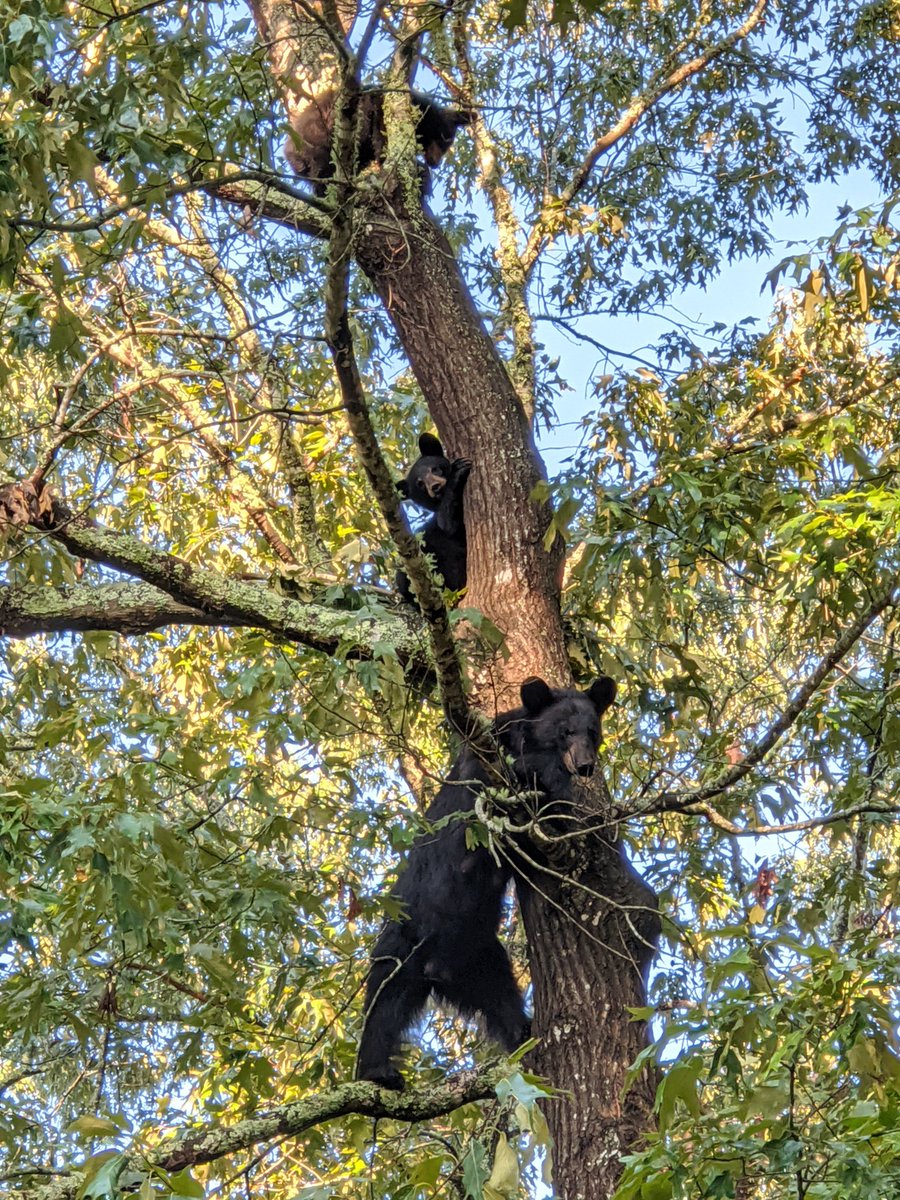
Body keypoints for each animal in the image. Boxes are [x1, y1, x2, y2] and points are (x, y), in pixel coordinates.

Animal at [285, 87, 472, 195]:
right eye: (444, 138)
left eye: (447, 144)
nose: (435, 163)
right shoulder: (381, 110)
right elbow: (381, 139)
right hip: (320, 136)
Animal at [355, 674, 618, 1090]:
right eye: (565, 731)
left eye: (592, 731)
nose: (585, 765)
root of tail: (439, 973)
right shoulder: (486, 765)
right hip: (404, 942)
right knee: (383, 1003)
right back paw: (379, 1071)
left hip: (483, 959)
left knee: (501, 997)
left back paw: (523, 1030)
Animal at [395, 432, 470, 605]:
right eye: (420, 484)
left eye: (435, 469)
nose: (435, 487)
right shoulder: (445, 525)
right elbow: (448, 525)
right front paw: (458, 470)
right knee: (402, 577)